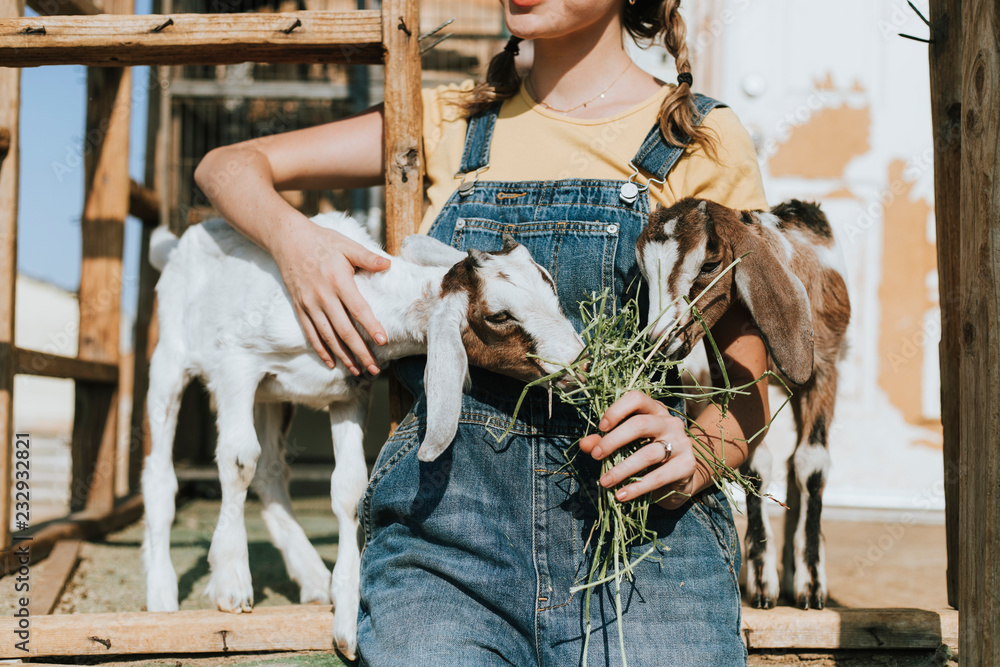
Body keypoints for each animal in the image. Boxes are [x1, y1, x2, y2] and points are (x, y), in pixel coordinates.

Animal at [144, 213, 584, 656]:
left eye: (548, 282)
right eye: (499, 316)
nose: (581, 362)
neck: (371, 299)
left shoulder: (349, 391)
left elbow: (349, 487)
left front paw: (347, 613)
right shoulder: (238, 362)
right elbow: (238, 461)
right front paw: (231, 581)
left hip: (273, 396)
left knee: (270, 470)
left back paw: (312, 577)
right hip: (170, 360)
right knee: (162, 473)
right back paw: (161, 592)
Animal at [636, 197, 848, 612]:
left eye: (709, 265)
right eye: (645, 274)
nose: (659, 341)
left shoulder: (823, 370)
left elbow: (812, 465)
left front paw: (812, 583)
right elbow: (754, 460)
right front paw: (763, 580)